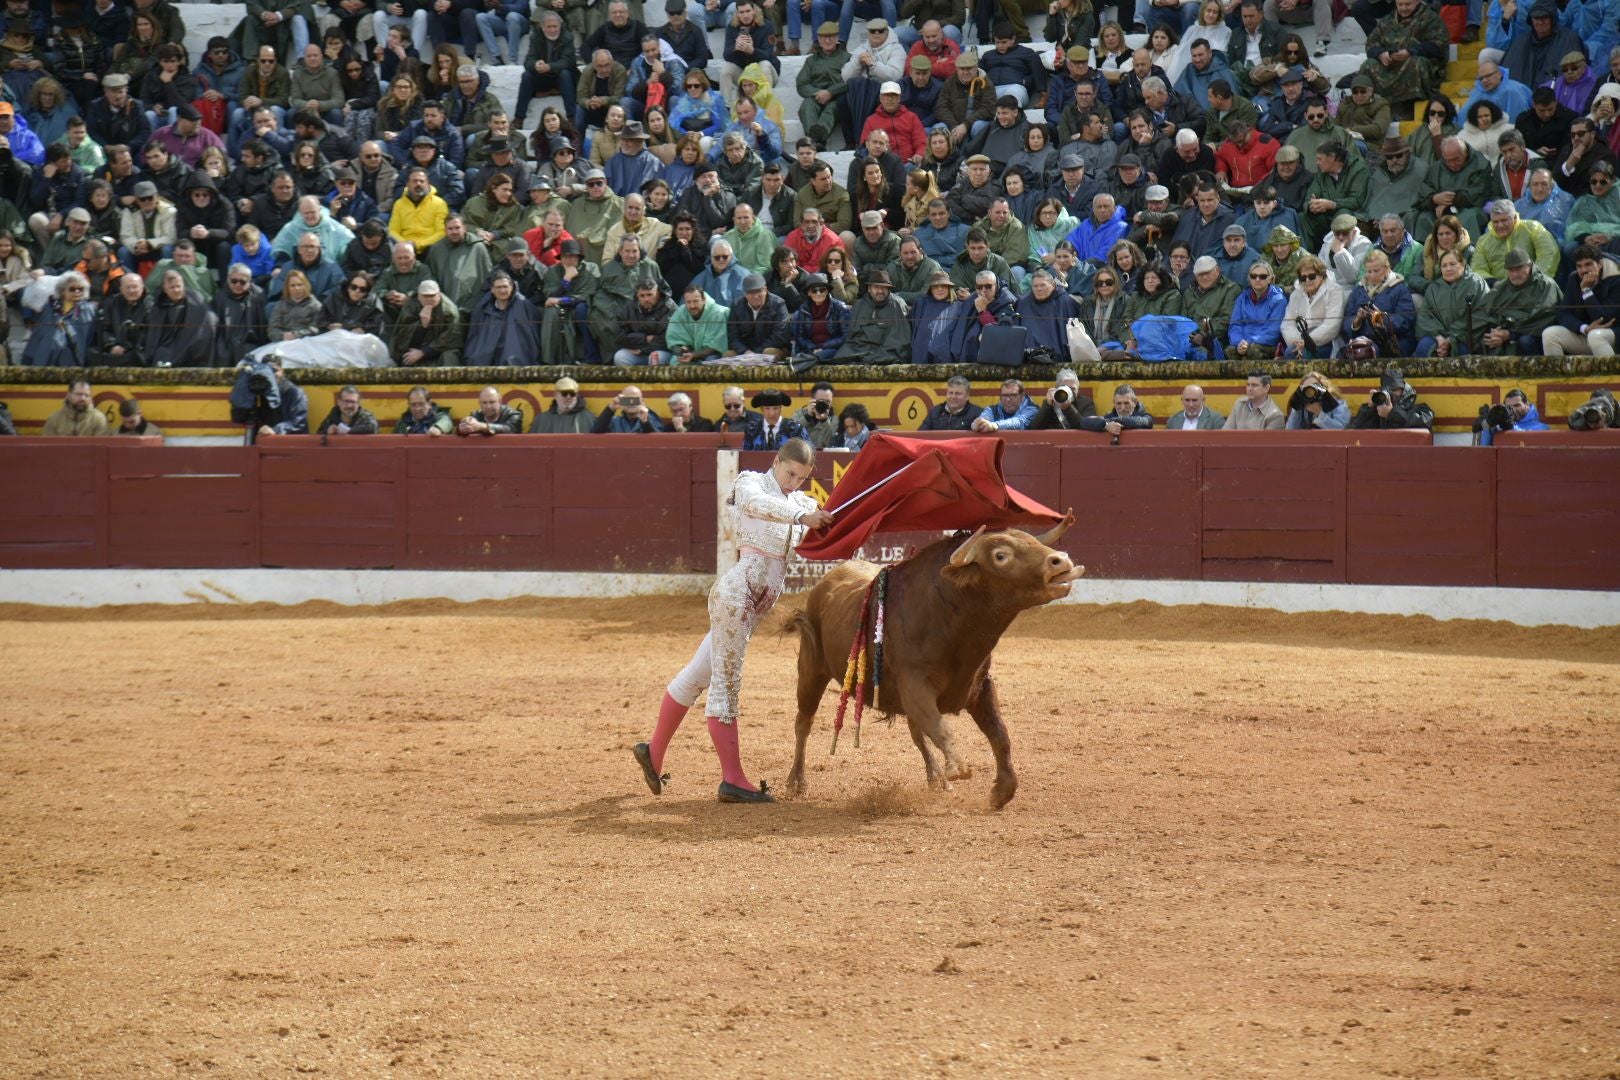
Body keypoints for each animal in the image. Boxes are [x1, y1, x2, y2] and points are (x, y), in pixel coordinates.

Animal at [780, 514, 1075, 809]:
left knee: (915, 732)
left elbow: (999, 733)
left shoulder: (980, 686)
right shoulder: (915, 687)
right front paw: (958, 767)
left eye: (1032, 540)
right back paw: (797, 782)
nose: (1061, 560)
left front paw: (1003, 791)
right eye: (1000, 556)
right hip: (810, 670)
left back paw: (935, 777)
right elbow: (939, 726)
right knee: (804, 722)